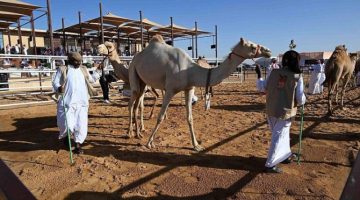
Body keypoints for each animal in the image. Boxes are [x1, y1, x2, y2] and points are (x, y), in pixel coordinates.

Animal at [128, 35, 272, 152]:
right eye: (252, 46)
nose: (268, 51)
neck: (189, 71)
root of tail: (136, 56)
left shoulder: (189, 88)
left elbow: (190, 118)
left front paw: (196, 145)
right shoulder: (170, 90)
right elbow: (161, 117)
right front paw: (149, 143)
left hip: (143, 82)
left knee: (137, 105)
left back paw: (139, 132)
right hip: (133, 70)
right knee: (131, 103)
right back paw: (130, 133)